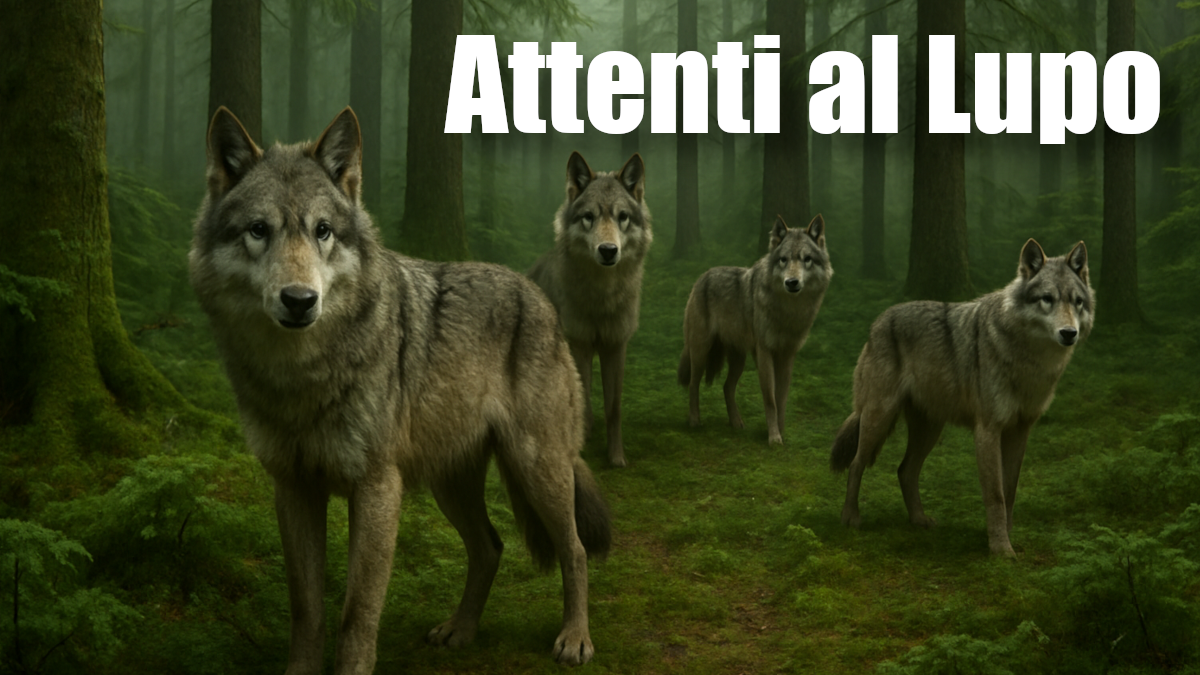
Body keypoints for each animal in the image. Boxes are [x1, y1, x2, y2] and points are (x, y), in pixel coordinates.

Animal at [189, 107, 611, 673]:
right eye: (259, 230)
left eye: (322, 231)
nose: (299, 300)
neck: (302, 377)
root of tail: (538, 294)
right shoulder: (293, 488)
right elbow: (307, 610)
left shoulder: (376, 489)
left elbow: (356, 615)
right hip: (450, 483)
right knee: (490, 547)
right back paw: (460, 630)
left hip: (536, 467)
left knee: (576, 549)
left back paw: (574, 638)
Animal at [529, 152, 652, 467]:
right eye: (589, 217)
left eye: (622, 217)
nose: (608, 250)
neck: (602, 296)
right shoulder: (580, 343)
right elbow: (582, 396)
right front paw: (580, 448)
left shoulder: (615, 345)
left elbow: (614, 407)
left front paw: (616, 457)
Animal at [677, 215, 832, 445]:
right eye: (783, 259)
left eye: (807, 259)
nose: (792, 282)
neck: (788, 311)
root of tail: (702, 277)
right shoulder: (764, 351)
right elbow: (770, 399)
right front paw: (774, 438)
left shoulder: (787, 355)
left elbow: (781, 398)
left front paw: (781, 431)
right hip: (700, 353)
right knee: (693, 384)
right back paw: (694, 421)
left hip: (739, 360)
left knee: (726, 387)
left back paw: (736, 423)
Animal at [830, 239, 1094, 557]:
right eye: (1047, 299)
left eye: (1077, 301)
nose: (1069, 333)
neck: (1028, 361)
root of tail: (879, 320)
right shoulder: (988, 430)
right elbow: (995, 495)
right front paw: (1000, 549)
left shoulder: (1020, 430)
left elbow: (1010, 491)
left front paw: (1006, 537)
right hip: (878, 418)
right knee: (857, 463)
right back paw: (850, 518)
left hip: (929, 430)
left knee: (905, 470)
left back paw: (919, 520)